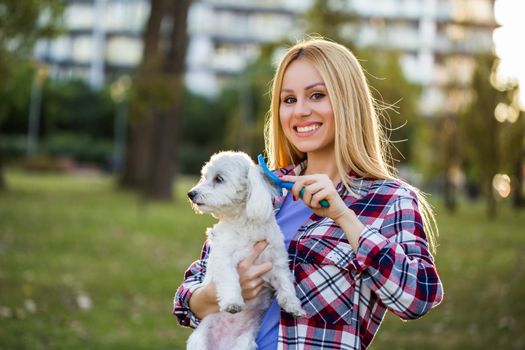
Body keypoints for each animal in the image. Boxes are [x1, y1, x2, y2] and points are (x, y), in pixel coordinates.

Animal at [186, 151, 304, 350]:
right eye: (205, 177)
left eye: (218, 179)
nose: (191, 193)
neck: (244, 223)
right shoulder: (223, 259)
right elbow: (230, 279)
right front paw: (232, 302)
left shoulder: (275, 262)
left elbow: (285, 283)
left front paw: (293, 304)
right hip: (199, 341)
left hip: (244, 342)